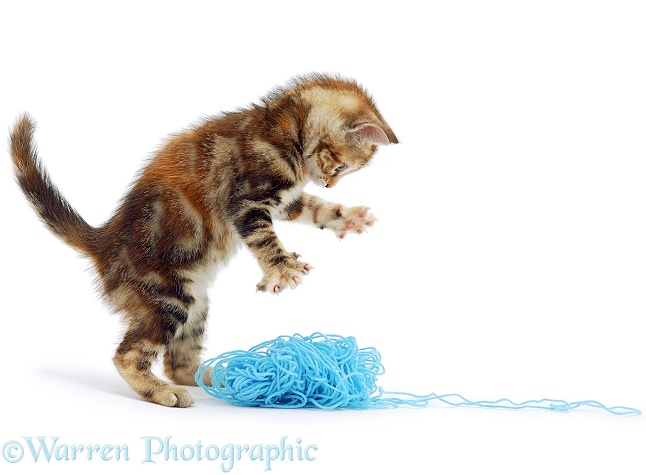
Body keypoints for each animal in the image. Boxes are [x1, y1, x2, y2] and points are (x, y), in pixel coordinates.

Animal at [10, 75, 398, 410]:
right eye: (342, 167)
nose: (331, 184)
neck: (282, 124)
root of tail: (104, 243)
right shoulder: (248, 200)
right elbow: (265, 237)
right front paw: (282, 268)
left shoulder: (285, 200)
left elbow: (314, 208)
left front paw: (348, 216)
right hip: (168, 297)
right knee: (128, 356)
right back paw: (162, 392)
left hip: (196, 302)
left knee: (178, 363)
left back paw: (219, 377)